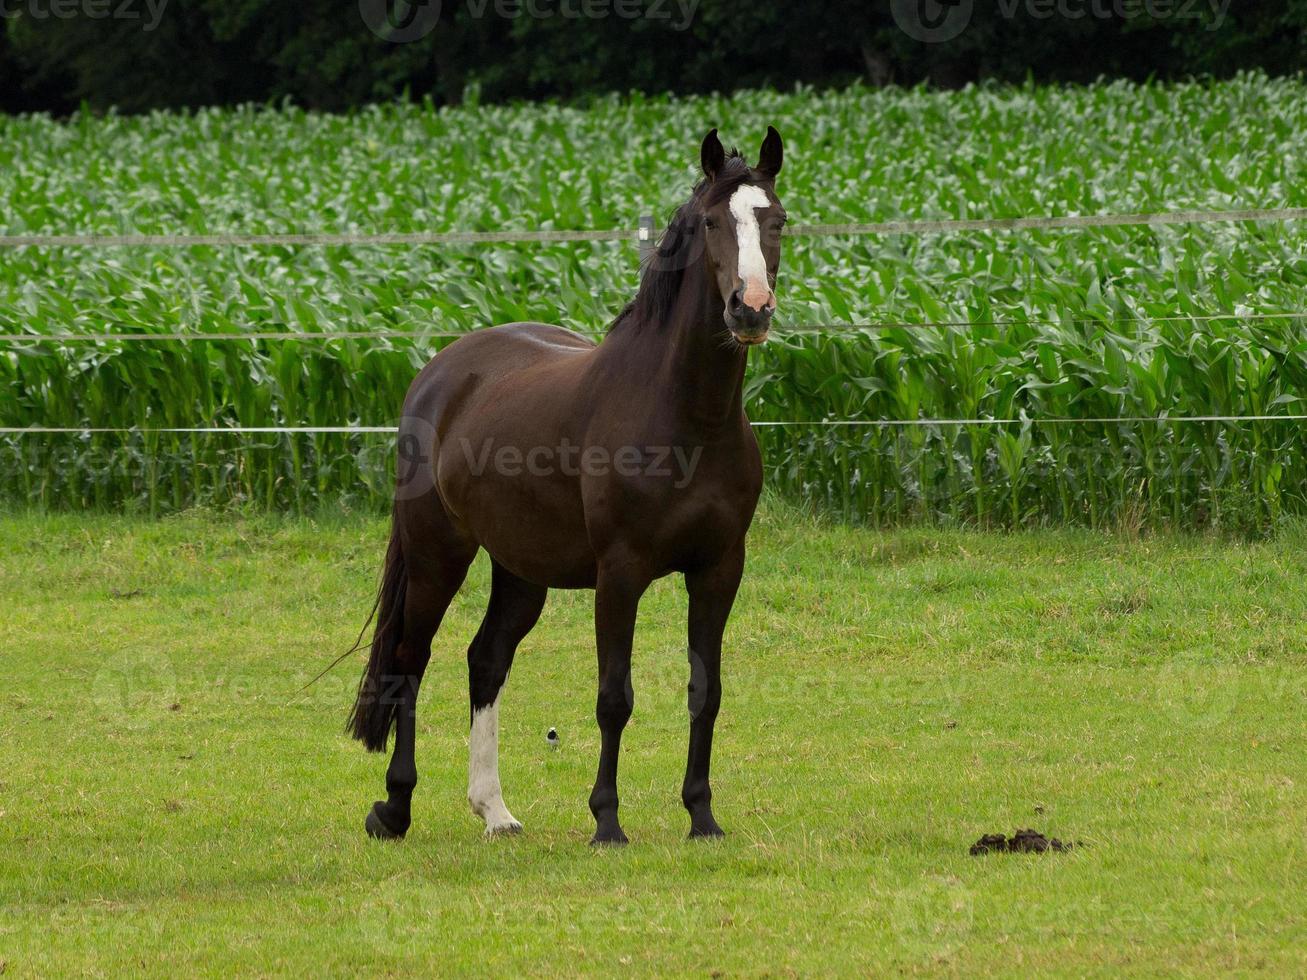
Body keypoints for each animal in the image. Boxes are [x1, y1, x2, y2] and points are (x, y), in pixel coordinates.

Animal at [347, 126, 784, 846]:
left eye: (776, 220)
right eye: (711, 222)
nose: (749, 310)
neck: (684, 417)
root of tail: (440, 371)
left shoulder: (719, 570)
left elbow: (706, 692)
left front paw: (701, 816)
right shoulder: (620, 573)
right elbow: (614, 697)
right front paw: (606, 821)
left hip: (522, 570)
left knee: (485, 660)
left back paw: (494, 811)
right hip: (438, 553)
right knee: (410, 660)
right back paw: (394, 807)